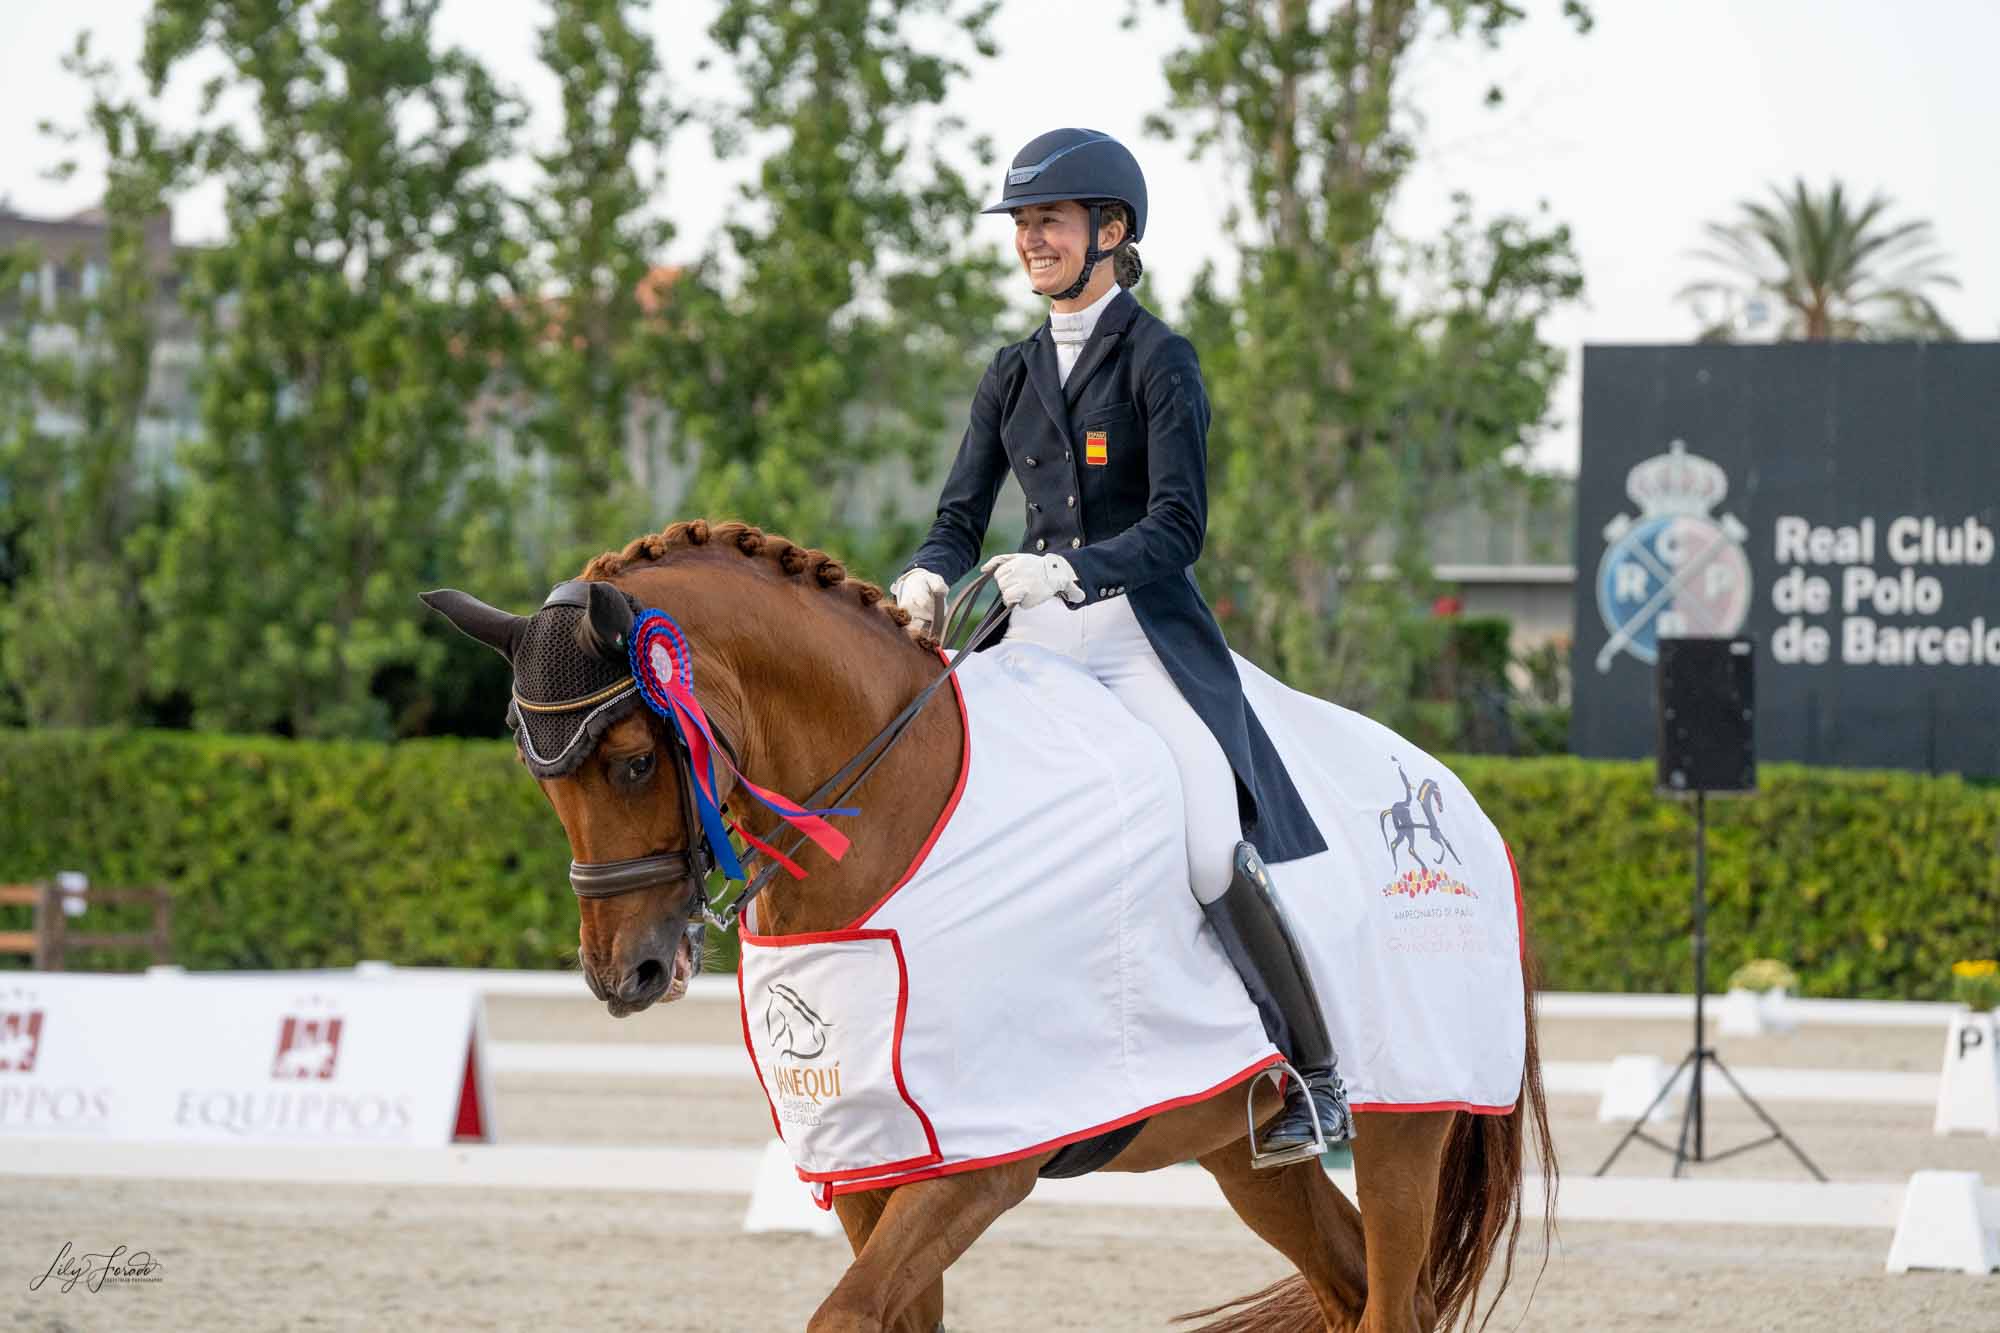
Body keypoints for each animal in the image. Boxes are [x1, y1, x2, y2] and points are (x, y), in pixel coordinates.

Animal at [434, 520, 1560, 1328]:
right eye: (535, 771)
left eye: (633, 760)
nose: (624, 974)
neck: (898, 815)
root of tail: (1471, 808)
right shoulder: (881, 1162)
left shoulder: (983, 1163)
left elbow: (843, 1317)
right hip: (1244, 1155)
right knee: (1347, 1283)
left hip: (1407, 1118)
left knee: (1390, 1297)